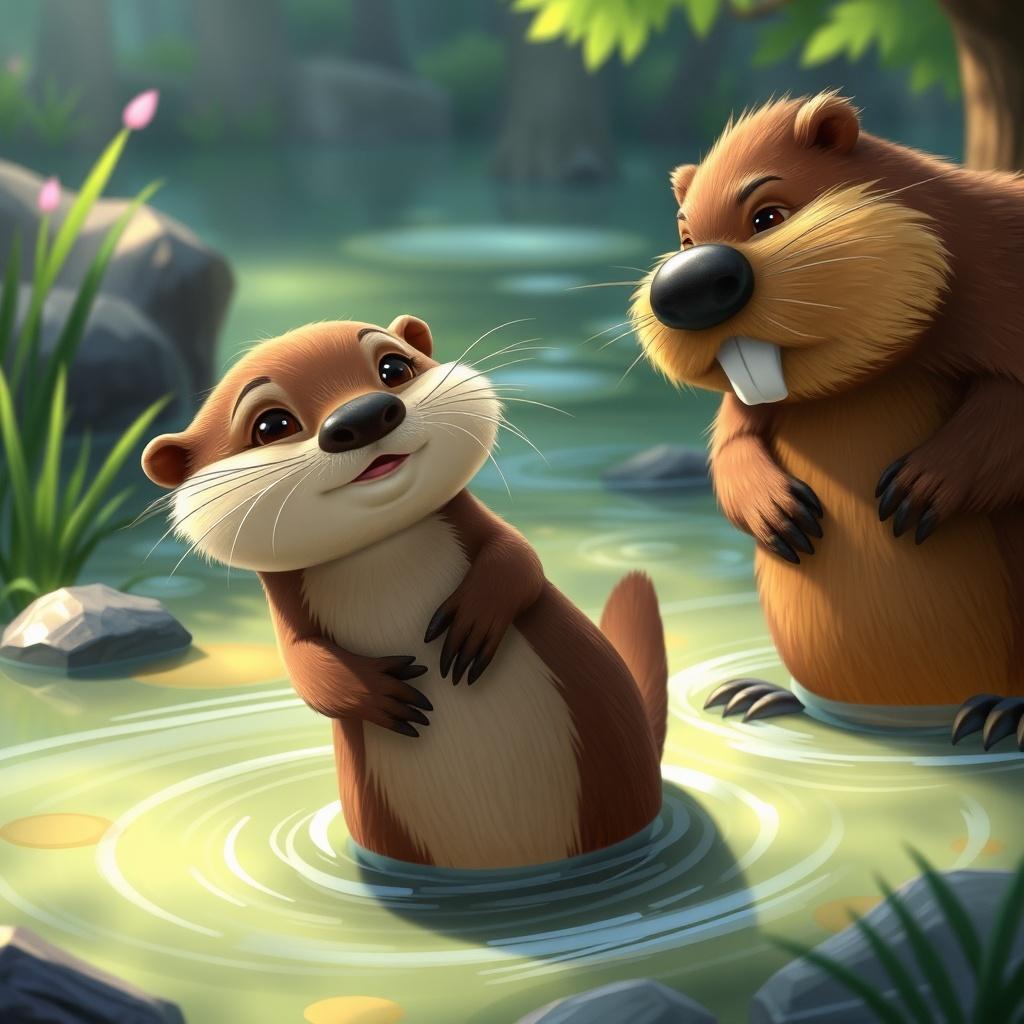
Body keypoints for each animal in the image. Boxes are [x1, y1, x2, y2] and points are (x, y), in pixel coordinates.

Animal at [141, 316, 667, 868]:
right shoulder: (288, 617)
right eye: (272, 425)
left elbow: (521, 559)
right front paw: (374, 690)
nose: (365, 415)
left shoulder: (484, 530)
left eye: (394, 368)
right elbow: (302, 666)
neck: (382, 558)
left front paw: (475, 618)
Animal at [629, 92, 1024, 749]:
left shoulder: (1003, 273)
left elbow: (1009, 410)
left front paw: (917, 488)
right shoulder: (745, 403)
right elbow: (734, 439)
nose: (682, 288)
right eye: (684, 238)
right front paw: (780, 514)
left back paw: (999, 713)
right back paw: (755, 695)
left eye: (768, 215)